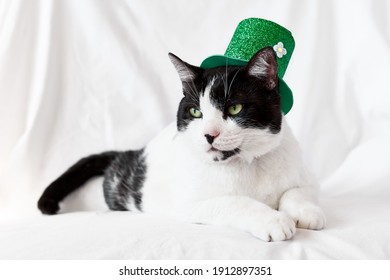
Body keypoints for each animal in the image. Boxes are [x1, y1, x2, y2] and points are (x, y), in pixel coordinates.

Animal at [38, 47, 326, 242]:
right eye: (196, 112)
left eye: (234, 108)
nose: (209, 134)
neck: (249, 164)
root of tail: (132, 153)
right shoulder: (189, 204)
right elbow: (234, 202)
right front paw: (273, 219)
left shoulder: (304, 173)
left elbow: (298, 190)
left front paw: (306, 212)